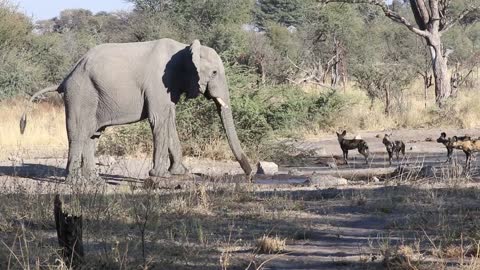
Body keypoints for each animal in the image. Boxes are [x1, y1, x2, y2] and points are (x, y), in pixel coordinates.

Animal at [20, 37, 253, 181]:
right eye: (214, 73)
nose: (250, 174)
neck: (184, 48)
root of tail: (65, 79)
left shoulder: (169, 87)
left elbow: (169, 121)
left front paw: (180, 174)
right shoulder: (158, 82)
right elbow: (159, 120)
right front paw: (159, 176)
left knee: (93, 135)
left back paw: (95, 180)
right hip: (80, 93)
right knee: (78, 134)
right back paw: (76, 182)